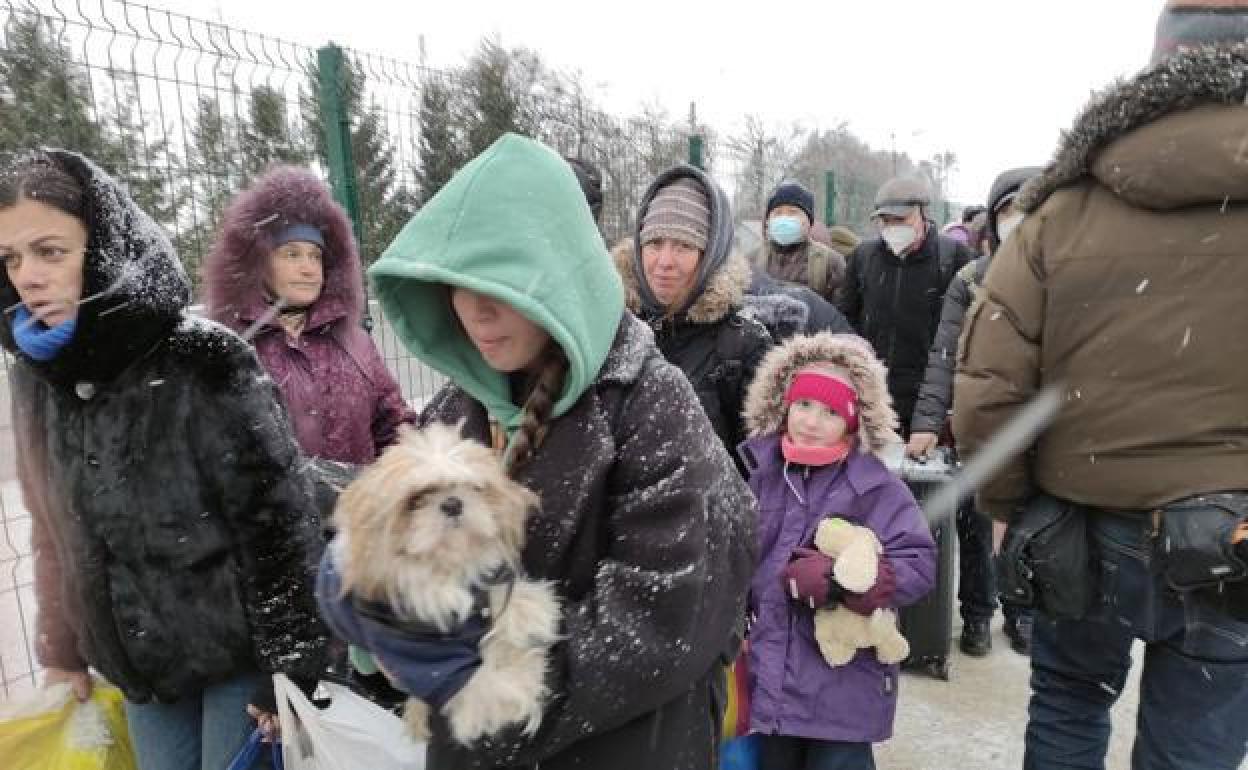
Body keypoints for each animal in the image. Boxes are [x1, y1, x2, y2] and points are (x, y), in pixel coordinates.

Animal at [326, 419, 561, 743]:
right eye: (415, 500)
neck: (446, 568)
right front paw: (525, 670)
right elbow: (487, 687)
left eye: (474, 487)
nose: (452, 503)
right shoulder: (428, 662)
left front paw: (529, 614)